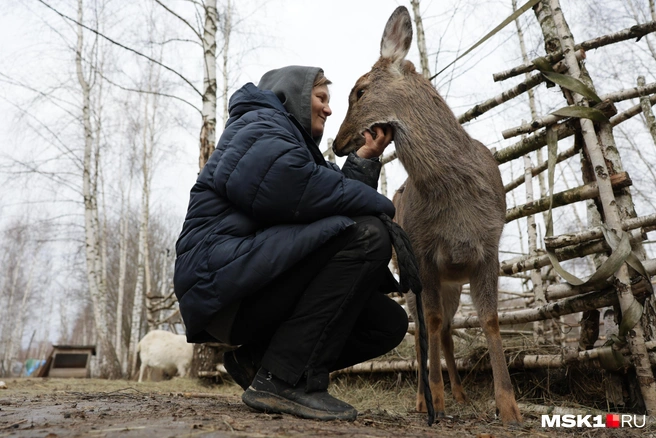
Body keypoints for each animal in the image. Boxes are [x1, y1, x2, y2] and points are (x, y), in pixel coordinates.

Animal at [334, 6, 524, 424]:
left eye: (359, 90)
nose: (337, 144)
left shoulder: (489, 246)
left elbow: (489, 318)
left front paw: (509, 407)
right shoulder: (422, 252)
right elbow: (429, 322)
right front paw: (434, 398)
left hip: (454, 282)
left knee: (449, 328)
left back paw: (461, 394)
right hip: (413, 275)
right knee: (428, 326)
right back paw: (426, 397)